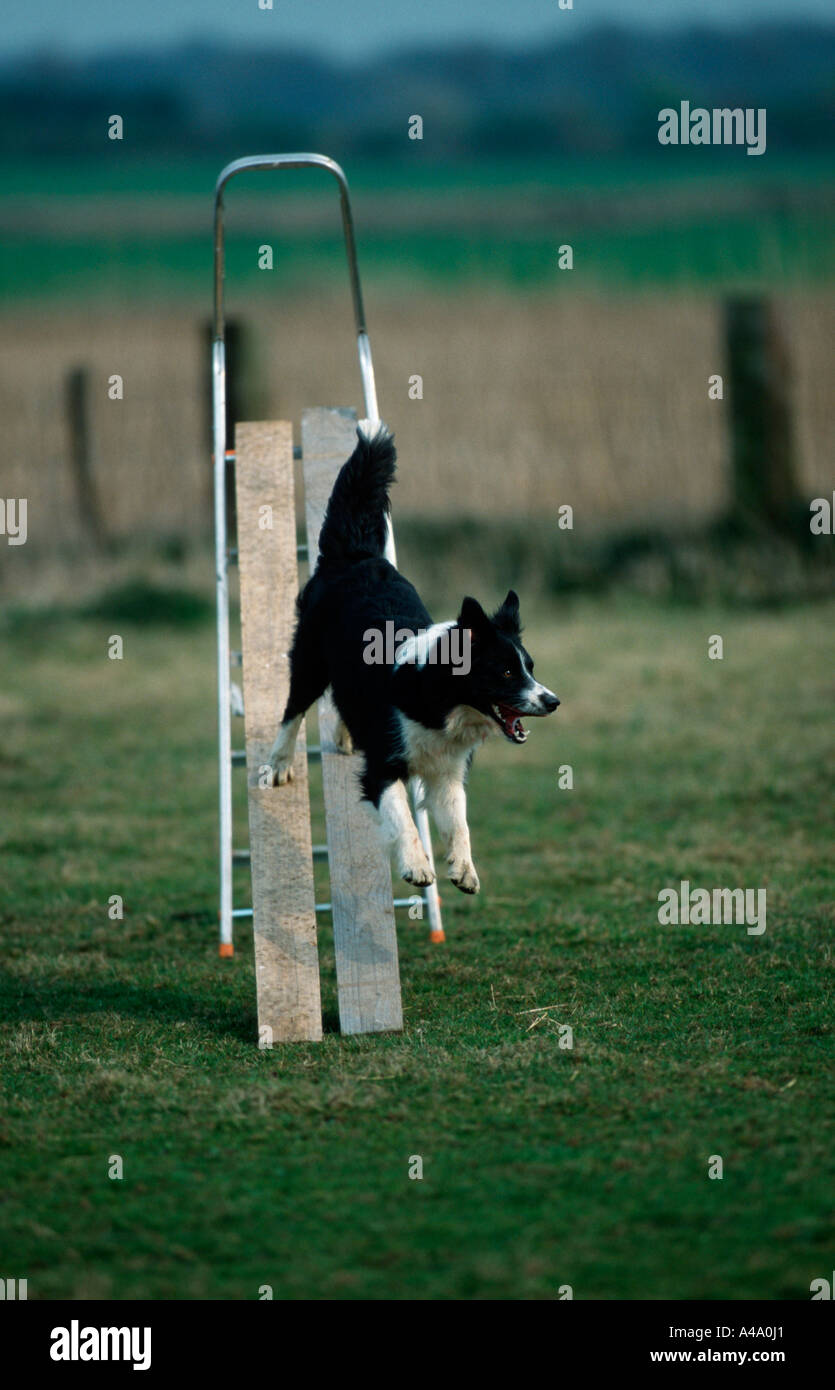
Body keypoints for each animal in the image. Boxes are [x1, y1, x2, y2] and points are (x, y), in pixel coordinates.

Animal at [270, 419, 561, 889]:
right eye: (504, 673)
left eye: (530, 667)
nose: (553, 701)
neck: (441, 700)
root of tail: (356, 555)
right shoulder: (384, 765)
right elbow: (402, 816)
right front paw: (417, 866)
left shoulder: (447, 771)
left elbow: (459, 821)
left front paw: (464, 869)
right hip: (309, 660)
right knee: (293, 709)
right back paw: (278, 764)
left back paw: (345, 736)